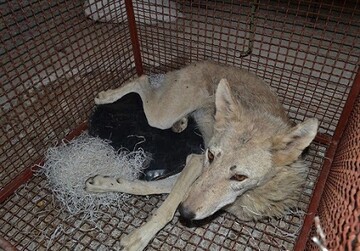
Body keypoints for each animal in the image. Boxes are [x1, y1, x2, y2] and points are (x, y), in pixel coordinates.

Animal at [85, 61, 318, 251]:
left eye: (240, 177)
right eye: (211, 156)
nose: (185, 213)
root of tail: (204, 62)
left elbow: (146, 188)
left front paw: (103, 183)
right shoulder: (196, 161)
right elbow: (166, 206)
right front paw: (140, 237)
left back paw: (181, 122)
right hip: (159, 117)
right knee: (143, 80)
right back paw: (106, 96)